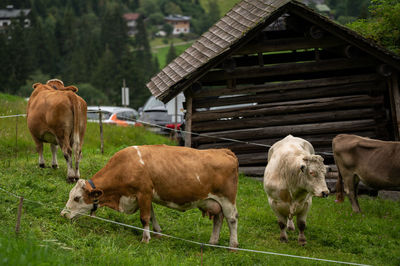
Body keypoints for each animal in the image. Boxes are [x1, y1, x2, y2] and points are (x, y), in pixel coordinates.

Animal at [61, 144, 239, 248]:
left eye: (77, 198)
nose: (63, 214)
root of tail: (224, 151)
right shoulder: (145, 196)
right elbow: (152, 215)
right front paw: (158, 233)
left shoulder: (144, 192)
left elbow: (144, 218)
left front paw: (145, 239)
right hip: (214, 202)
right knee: (218, 219)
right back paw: (213, 242)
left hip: (227, 199)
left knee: (232, 219)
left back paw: (233, 245)